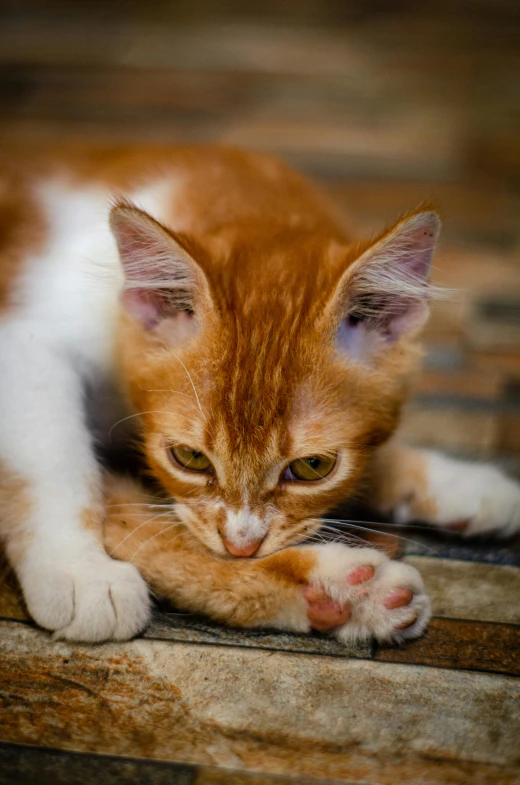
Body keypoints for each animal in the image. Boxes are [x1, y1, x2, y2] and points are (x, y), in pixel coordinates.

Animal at [1, 142, 520, 644]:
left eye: (313, 467)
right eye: (190, 458)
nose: (242, 545)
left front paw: (453, 481)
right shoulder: (25, 341)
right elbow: (54, 455)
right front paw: (75, 566)